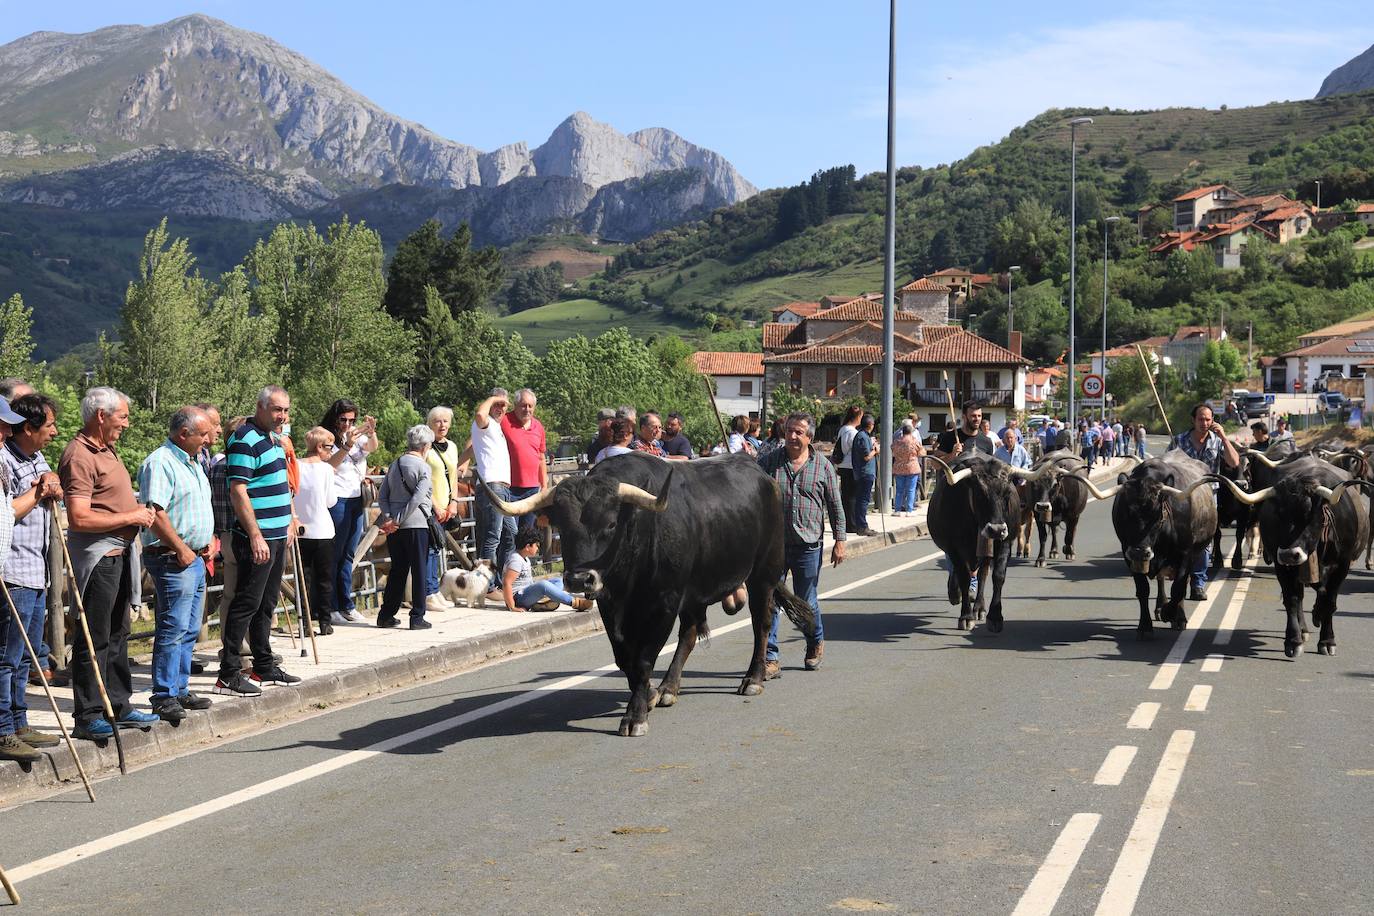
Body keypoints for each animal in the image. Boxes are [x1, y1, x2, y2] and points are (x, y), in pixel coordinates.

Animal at [478, 450, 813, 736]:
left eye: (611, 524)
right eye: (562, 524)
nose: (579, 580)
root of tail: (763, 475)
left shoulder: (663, 603)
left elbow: (643, 658)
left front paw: (635, 715)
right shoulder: (611, 604)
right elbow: (624, 658)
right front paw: (649, 693)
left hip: (763, 575)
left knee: (761, 624)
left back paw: (753, 678)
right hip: (696, 591)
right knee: (690, 633)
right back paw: (668, 688)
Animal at [928, 453, 1044, 637]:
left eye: (1007, 493)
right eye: (980, 494)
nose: (996, 530)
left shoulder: (1005, 543)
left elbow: (998, 576)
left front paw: (995, 617)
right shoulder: (954, 548)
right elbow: (964, 577)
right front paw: (966, 617)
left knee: (982, 573)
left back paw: (979, 608)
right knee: (960, 572)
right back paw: (956, 595)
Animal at [1082, 450, 1214, 637]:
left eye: (1158, 516)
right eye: (1124, 513)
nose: (1140, 552)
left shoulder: (1185, 554)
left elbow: (1178, 588)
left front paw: (1170, 614)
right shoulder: (1128, 553)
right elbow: (1143, 589)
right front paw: (1145, 626)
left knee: (1182, 584)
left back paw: (1177, 617)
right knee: (1160, 579)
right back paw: (1160, 607)